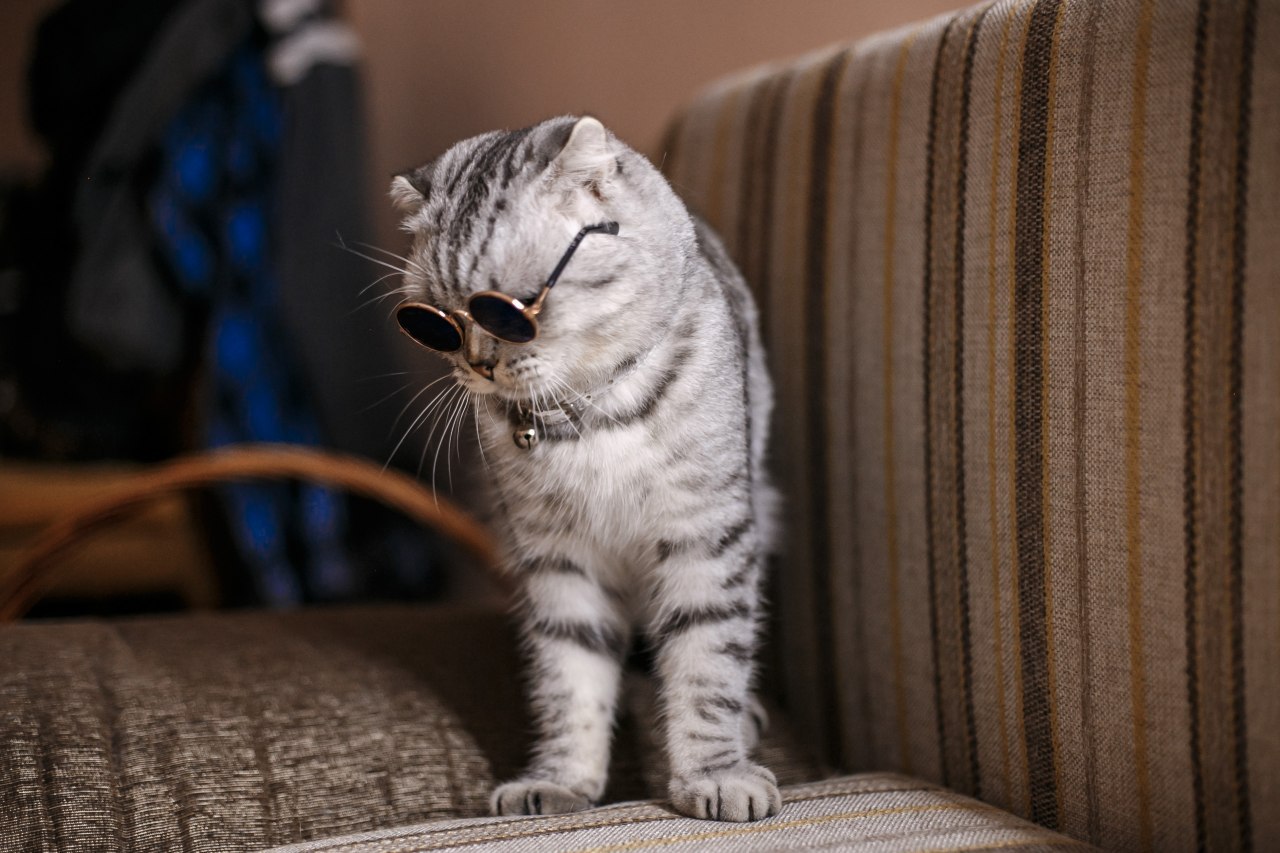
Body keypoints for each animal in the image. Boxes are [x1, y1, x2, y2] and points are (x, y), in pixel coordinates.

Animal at [386, 112, 778, 819]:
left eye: (506, 309)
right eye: (435, 320)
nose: (477, 365)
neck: (590, 420)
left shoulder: (706, 534)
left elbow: (707, 663)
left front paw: (714, 774)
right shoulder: (557, 558)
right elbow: (571, 677)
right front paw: (561, 781)